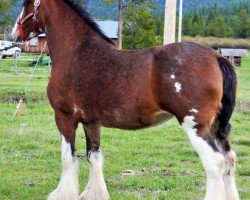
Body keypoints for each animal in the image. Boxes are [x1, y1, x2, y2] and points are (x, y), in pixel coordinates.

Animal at [12, 0, 239, 200]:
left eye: (26, 3)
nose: (14, 33)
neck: (77, 52)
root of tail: (216, 57)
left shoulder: (65, 118)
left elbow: (68, 158)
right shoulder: (91, 122)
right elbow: (93, 157)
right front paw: (95, 194)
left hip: (196, 126)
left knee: (215, 163)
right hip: (215, 128)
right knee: (229, 160)